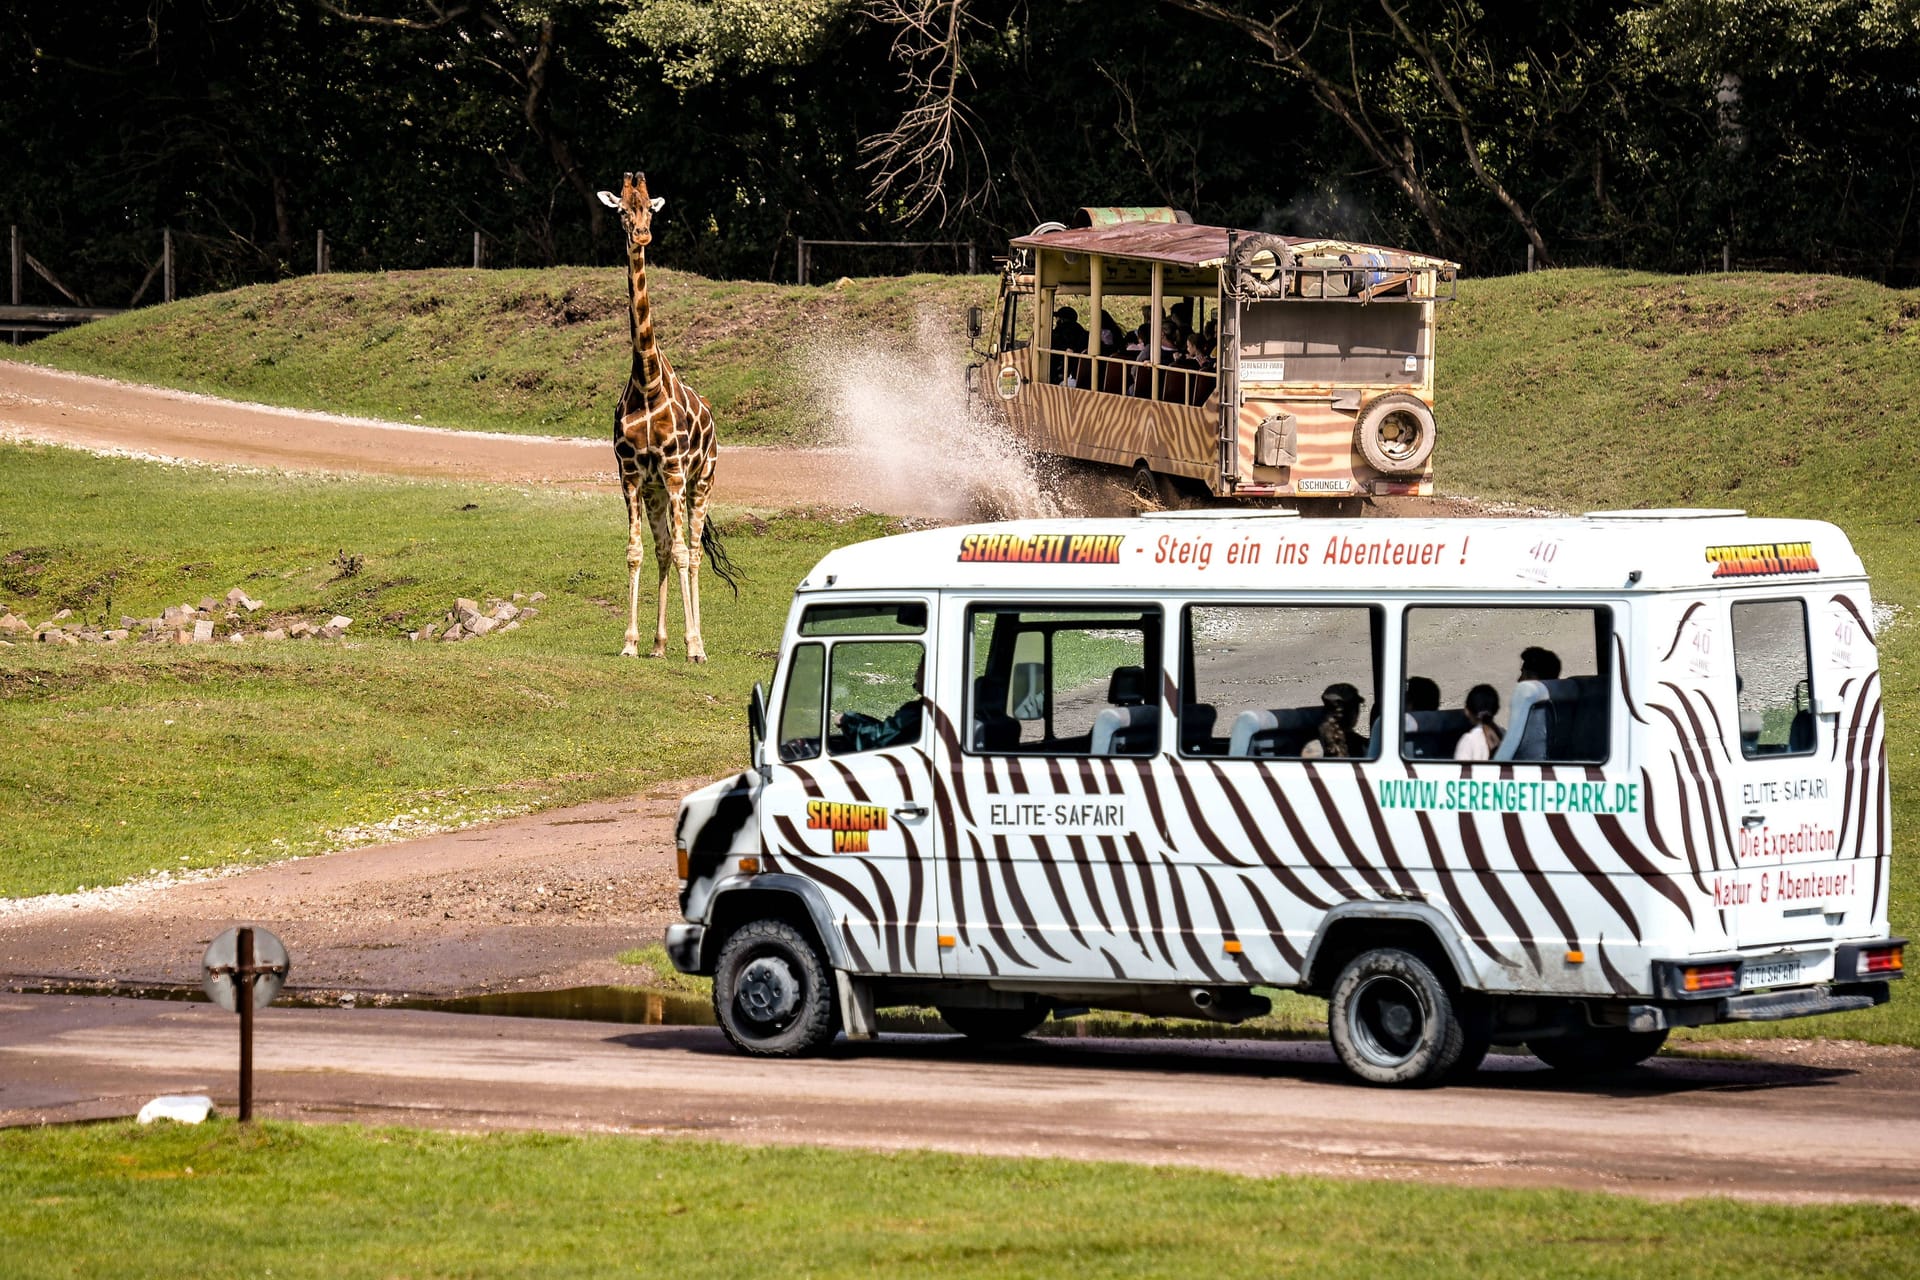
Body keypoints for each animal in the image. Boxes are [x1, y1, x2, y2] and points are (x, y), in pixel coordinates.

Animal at [595, 169, 729, 660]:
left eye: (650, 209)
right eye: (621, 210)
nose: (641, 234)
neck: (648, 382)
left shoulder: (673, 472)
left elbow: (687, 553)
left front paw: (694, 647)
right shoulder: (632, 476)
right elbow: (637, 551)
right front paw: (632, 642)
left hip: (701, 482)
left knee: (691, 549)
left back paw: (696, 642)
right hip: (657, 492)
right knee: (664, 548)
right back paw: (658, 643)